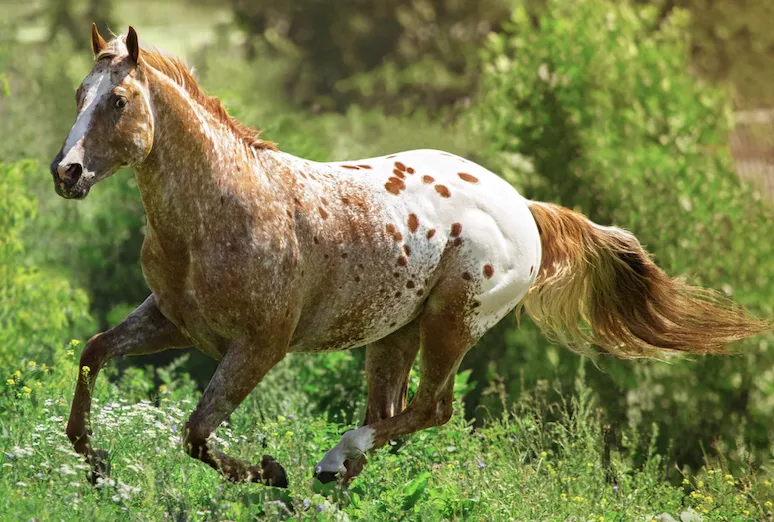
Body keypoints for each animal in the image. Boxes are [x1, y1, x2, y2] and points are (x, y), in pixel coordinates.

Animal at [50, 25, 771, 488]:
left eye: (118, 100)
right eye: (78, 94)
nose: (67, 172)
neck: (223, 209)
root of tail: (523, 206)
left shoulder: (259, 345)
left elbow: (197, 433)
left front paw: (272, 474)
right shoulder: (174, 322)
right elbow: (94, 352)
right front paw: (96, 462)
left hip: (451, 325)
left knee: (430, 411)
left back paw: (330, 462)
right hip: (391, 334)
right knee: (392, 414)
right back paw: (338, 474)